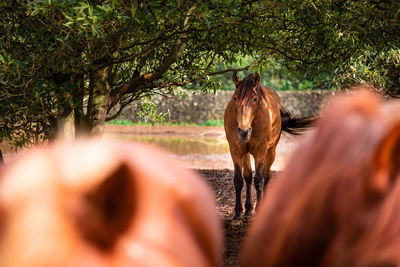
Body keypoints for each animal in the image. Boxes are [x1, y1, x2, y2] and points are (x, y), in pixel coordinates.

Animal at [225, 71, 312, 220]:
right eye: (235, 98)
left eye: (254, 99)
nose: (243, 132)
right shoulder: (236, 151)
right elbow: (239, 180)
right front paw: (238, 211)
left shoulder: (261, 151)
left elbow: (259, 180)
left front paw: (258, 209)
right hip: (246, 154)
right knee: (248, 176)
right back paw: (248, 209)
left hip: (271, 152)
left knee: (266, 177)